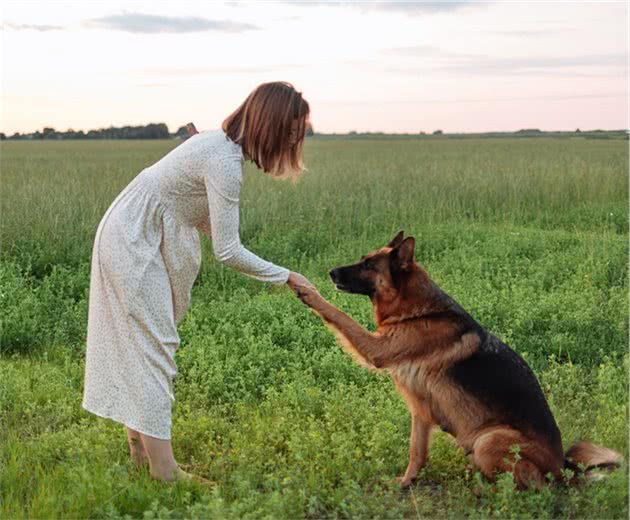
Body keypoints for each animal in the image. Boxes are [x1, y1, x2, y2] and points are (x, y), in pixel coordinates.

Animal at [294, 232, 624, 488]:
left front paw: (307, 291)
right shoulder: (420, 412)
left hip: (488, 440)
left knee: (529, 485)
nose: (331, 273)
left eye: (367, 265)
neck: (416, 311)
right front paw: (406, 482)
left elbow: (339, 316)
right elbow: (416, 452)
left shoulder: (377, 349)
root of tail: (563, 471)